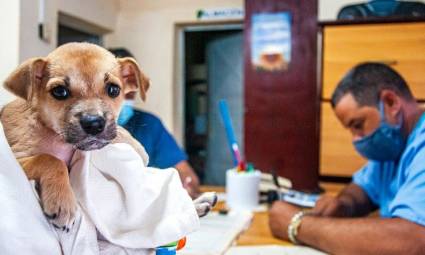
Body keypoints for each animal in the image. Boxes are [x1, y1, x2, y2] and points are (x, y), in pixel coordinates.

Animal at [0, 42, 151, 230]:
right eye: (59, 91)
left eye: (113, 90)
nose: (94, 124)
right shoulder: (16, 157)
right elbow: (50, 159)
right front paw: (62, 201)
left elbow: (116, 133)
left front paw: (136, 145)